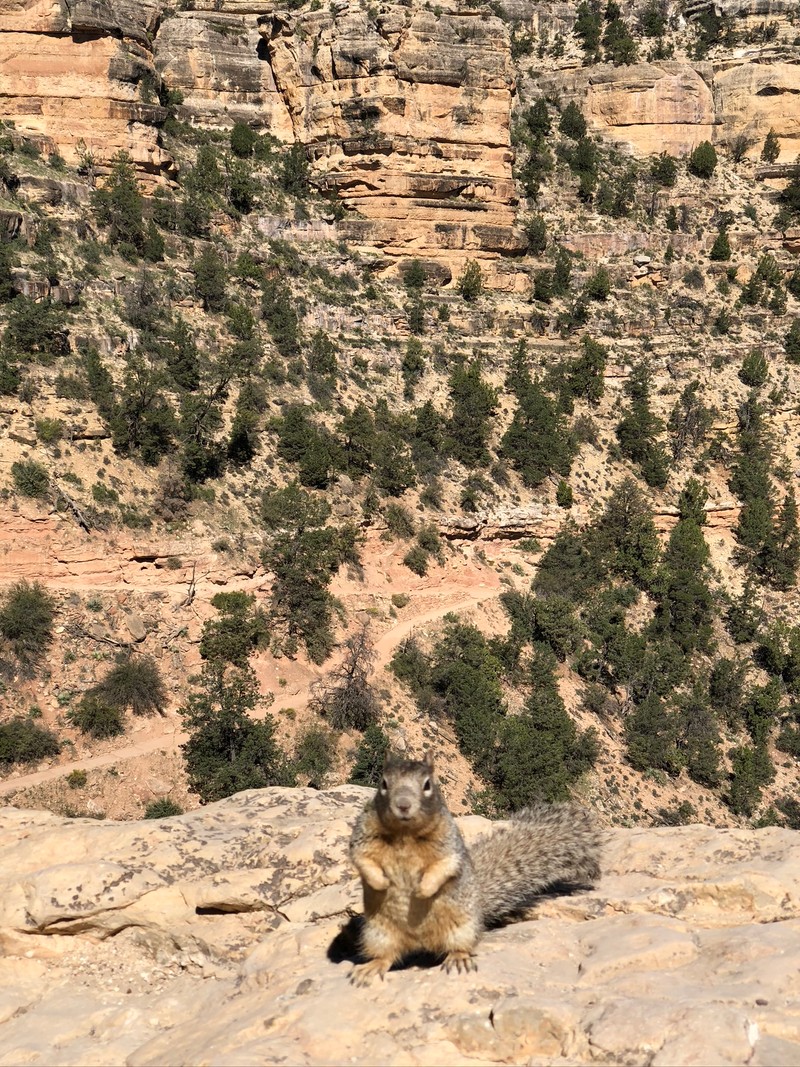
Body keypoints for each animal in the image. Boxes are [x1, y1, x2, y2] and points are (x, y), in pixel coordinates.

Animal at [347, 751, 605, 981]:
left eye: (427, 784)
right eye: (383, 783)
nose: (403, 805)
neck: (405, 833)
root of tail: (420, 942)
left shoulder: (450, 841)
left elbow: (445, 864)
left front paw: (422, 889)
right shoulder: (363, 834)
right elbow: (361, 858)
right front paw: (381, 882)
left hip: (462, 928)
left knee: (458, 947)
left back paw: (458, 959)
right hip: (378, 933)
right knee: (387, 955)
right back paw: (370, 968)